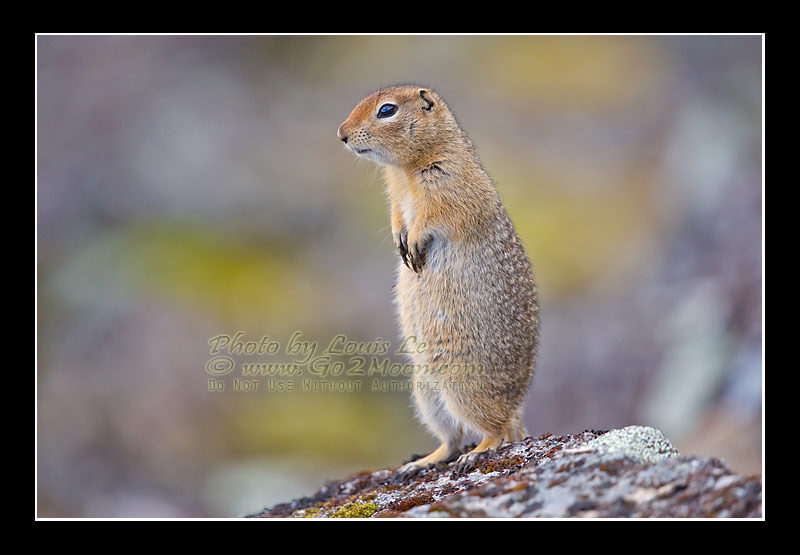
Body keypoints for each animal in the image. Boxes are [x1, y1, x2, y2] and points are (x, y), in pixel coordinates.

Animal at [337, 84, 539, 478]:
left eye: (387, 110)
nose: (341, 134)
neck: (404, 171)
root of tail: (518, 409)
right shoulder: (394, 195)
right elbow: (397, 216)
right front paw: (401, 241)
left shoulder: (447, 180)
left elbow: (438, 215)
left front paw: (415, 241)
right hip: (426, 391)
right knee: (452, 437)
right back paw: (420, 463)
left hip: (461, 385)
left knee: (495, 430)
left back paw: (478, 452)